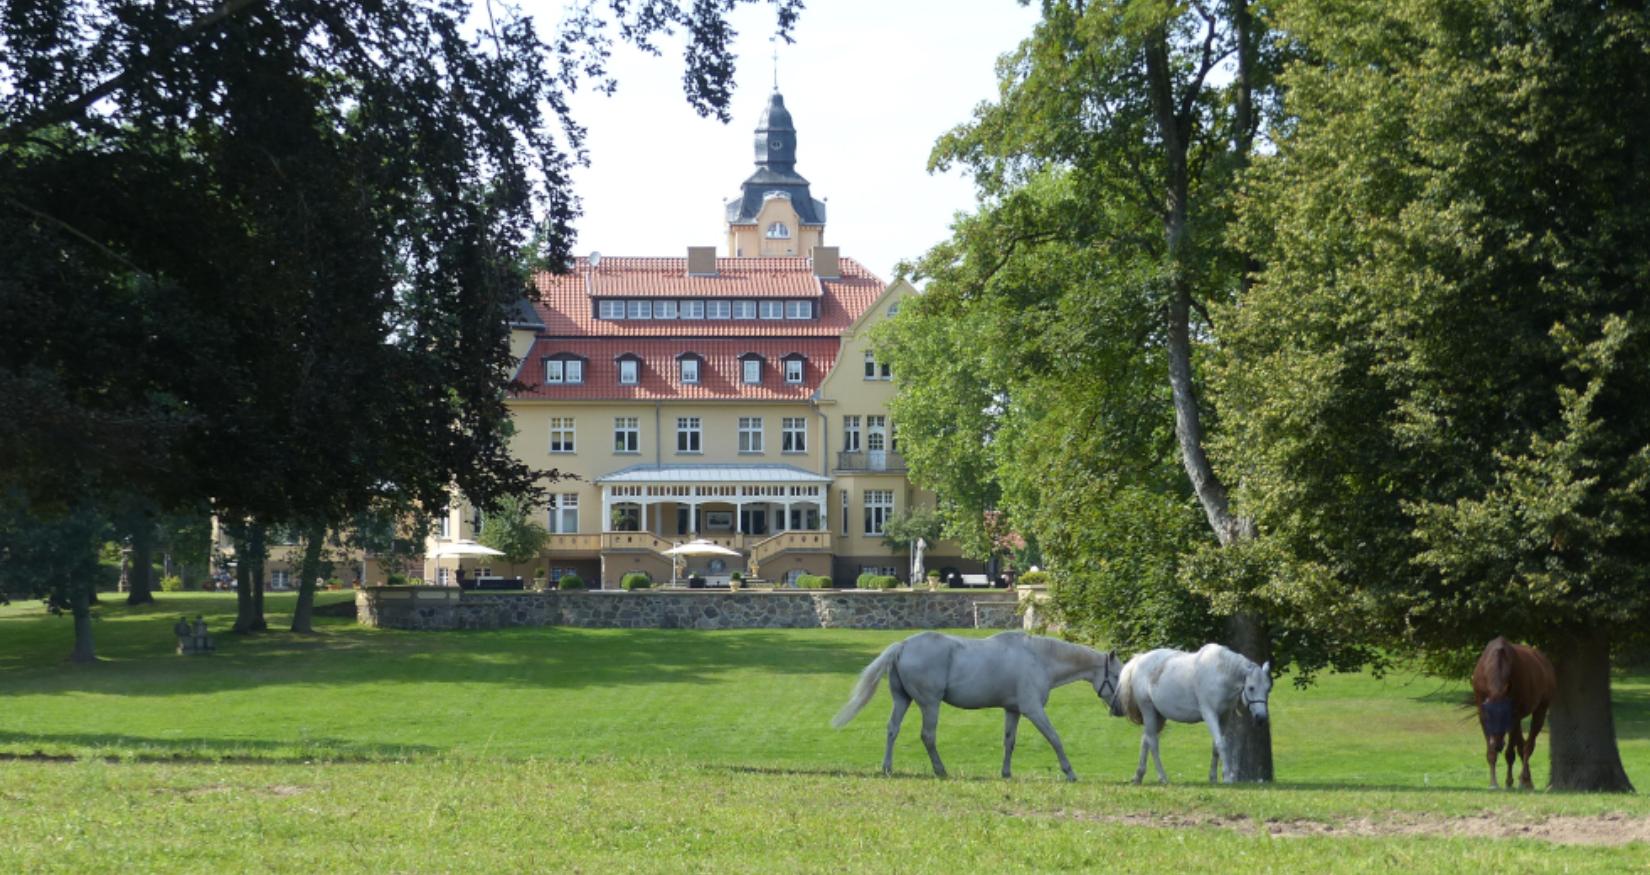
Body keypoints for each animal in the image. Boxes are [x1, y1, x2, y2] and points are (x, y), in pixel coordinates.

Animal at [831, 630, 1128, 779]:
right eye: (1117, 675)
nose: (1120, 709)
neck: (1039, 658)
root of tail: (903, 645)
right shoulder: (1033, 710)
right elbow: (1055, 738)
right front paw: (1070, 772)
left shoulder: (1013, 710)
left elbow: (1009, 742)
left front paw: (1006, 773)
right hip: (929, 704)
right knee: (928, 736)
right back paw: (940, 770)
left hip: (902, 700)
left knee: (892, 729)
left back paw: (888, 768)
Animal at [1122, 640, 1273, 782]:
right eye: (1251, 688)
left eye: (1268, 689)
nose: (1261, 717)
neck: (1220, 673)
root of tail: (1139, 660)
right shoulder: (1209, 714)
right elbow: (1221, 744)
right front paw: (1227, 778)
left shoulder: (1224, 716)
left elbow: (1216, 746)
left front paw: (1213, 778)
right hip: (1148, 710)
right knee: (1153, 743)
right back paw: (1162, 778)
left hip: (1158, 716)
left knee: (1146, 739)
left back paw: (1138, 776)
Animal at [1478, 637, 1551, 785]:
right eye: (1488, 717)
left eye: (1505, 717)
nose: (1498, 745)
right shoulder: (1482, 714)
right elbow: (1491, 753)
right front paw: (1493, 783)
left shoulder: (1514, 716)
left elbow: (1510, 753)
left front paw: (1509, 782)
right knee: (1521, 745)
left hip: (1540, 710)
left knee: (1528, 746)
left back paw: (1524, 779)